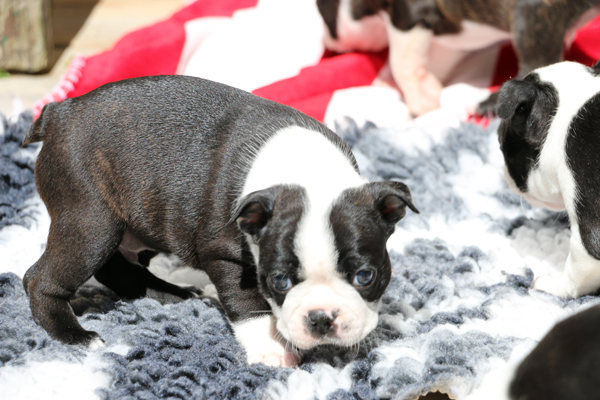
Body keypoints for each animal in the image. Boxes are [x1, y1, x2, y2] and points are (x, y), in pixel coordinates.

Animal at [22, 75, 418, 367]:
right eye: (279, 281)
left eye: (365, 276)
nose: (321, 318)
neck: (308, 173)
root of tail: (60, 111)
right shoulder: (226, 255)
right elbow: (249, 304)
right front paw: (272, 348)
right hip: (91, 220)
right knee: (42, 277)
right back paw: (76, 336)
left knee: (118, 269)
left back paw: (174, 294)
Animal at [317, 0, 600, 117]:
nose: (327, 43)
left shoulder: (410, 13)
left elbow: (403, 60)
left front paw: (422, 101)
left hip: (531, 17)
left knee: (535, 65)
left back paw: (487, 102)